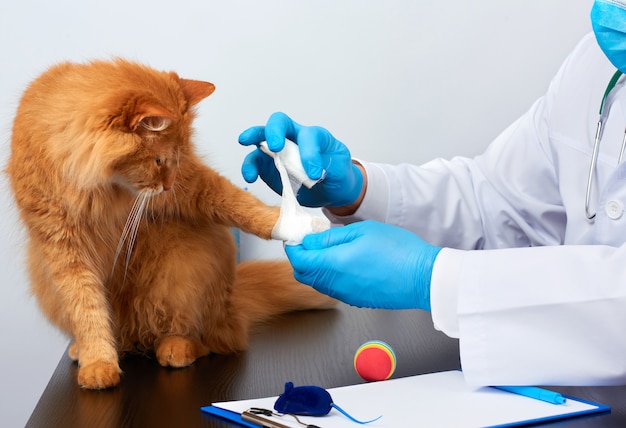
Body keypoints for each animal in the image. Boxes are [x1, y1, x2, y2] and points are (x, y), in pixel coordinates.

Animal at [6, 58, 336, 390]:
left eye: (178, 158)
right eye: (158, 161)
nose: (168, 186)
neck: (102, 189)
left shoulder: (191, 184)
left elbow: (237, 203)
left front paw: (290, 223)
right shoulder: (63, 245)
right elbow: (87, 308)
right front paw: (98, 362)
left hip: (186, 269)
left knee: (212, 339)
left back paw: (177, 347)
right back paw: (88, 349)